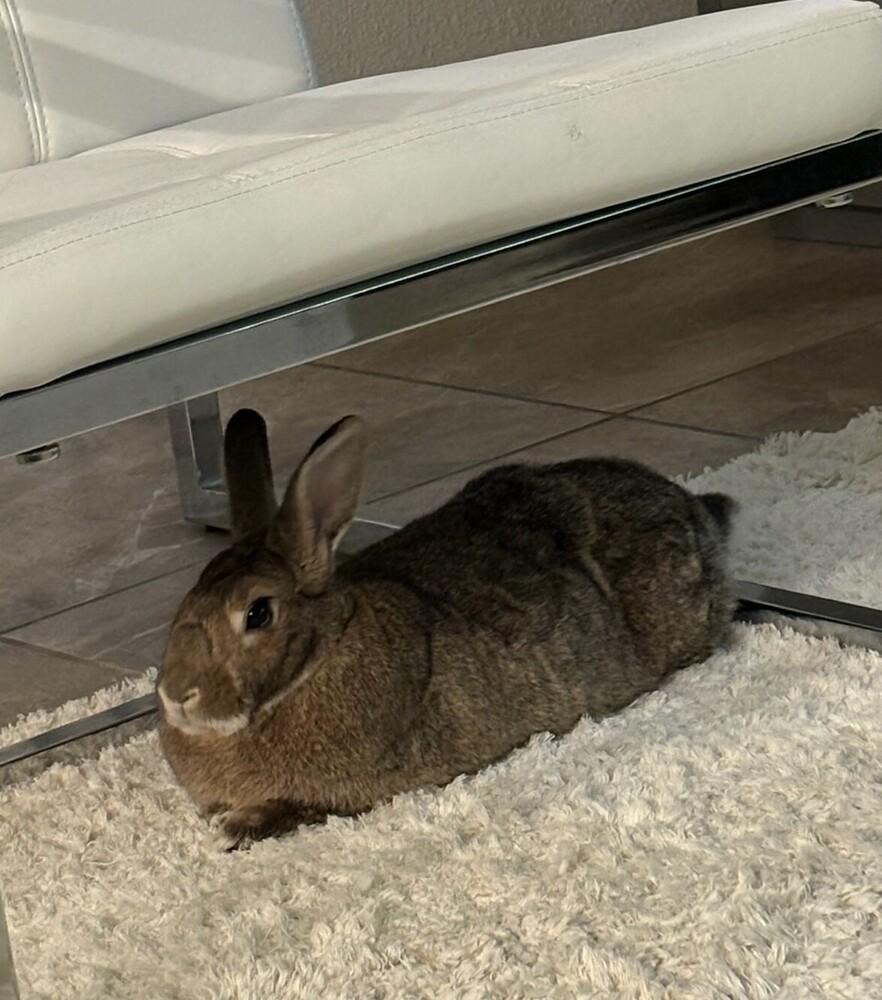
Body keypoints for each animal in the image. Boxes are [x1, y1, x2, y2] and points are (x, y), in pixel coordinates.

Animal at [157, 409, 737, 846]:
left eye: (258, 613)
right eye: (188, 595)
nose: (174, 693)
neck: (318, 653)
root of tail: (694, 510)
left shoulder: (352, 792)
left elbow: (291, 808)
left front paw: (235, 826)